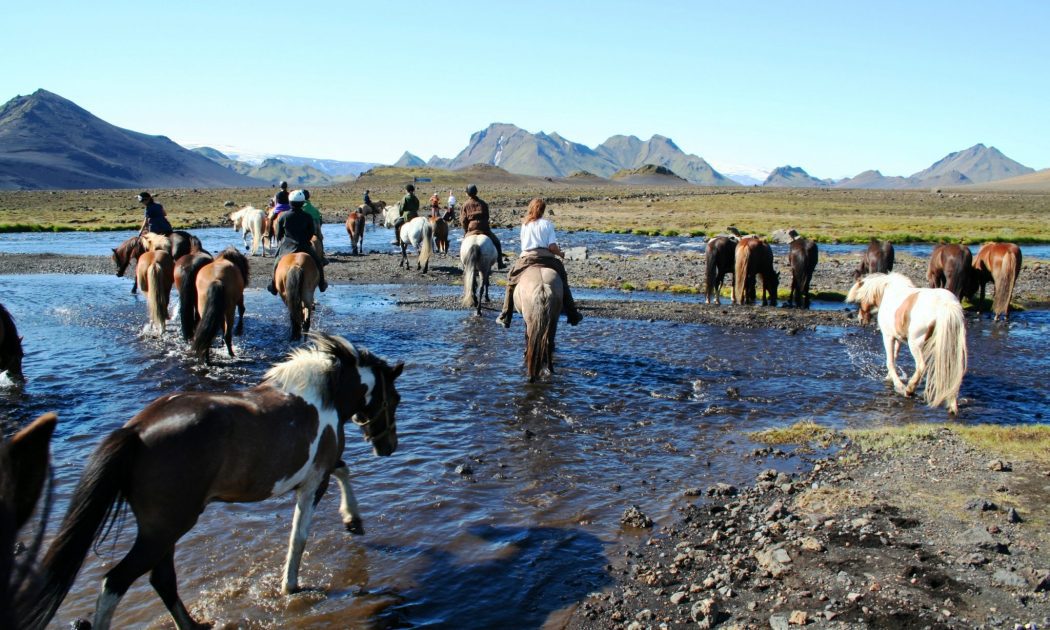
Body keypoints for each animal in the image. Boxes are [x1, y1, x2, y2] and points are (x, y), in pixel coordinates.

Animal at [22, 331, 405, 625]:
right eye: (396, 399)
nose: (388, 447)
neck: (322, 397)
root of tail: (136, 432)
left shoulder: (316, 472)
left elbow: (343, 469)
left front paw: (353, 520)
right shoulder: (313, 483)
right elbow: (299, 537)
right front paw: (291, 586)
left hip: (161, 530)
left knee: (162, 580)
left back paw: (193, 624)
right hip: (165, 529)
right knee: (116, 582)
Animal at [844, 268, 965, 413]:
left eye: (859, 301)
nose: (861, 320)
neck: (888, 291)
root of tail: (945, 304)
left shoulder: (888, 336)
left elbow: (890, 361)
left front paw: (899, 385)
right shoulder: (898, 338)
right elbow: (895, 356)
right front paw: (889, 377)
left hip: (915, 345)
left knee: (921, 366)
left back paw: (909, 389)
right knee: (953, 371)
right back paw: (952, 405)